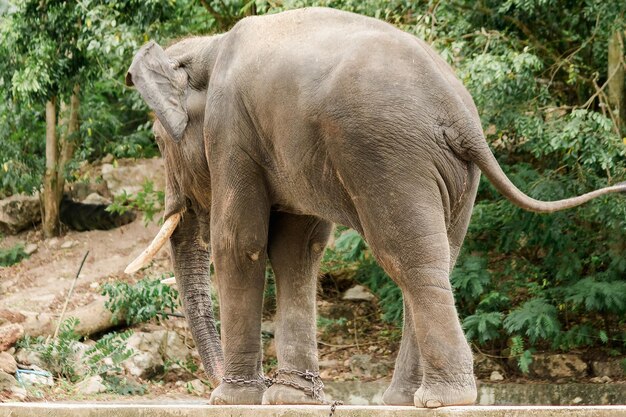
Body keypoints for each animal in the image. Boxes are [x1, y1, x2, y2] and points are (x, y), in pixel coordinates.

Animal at [123, 6, 624, 408]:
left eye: (158, 141)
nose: (207, 386)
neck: (207, 48)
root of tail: (461, 115)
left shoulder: (231, 133)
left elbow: (239, 243)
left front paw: (232, 400)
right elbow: (296, 250)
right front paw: (291, 399)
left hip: (386, 153)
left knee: (405, 256)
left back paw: (442, 399)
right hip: (453, 175)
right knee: (437, 259)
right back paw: (407, 399)